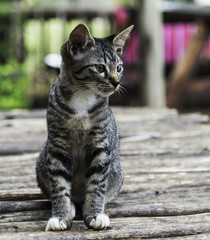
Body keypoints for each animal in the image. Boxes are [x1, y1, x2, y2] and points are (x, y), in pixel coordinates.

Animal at [36, 23, 133, 231]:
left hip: (117, 172)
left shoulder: (101, 145)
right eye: (100, 67)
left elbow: (97, 183)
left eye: (119, 68)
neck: (82, 96)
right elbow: (59, 184)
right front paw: (60, 215)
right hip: (42, 160)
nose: (116, 82)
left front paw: (95, 214)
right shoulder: (57, 145)